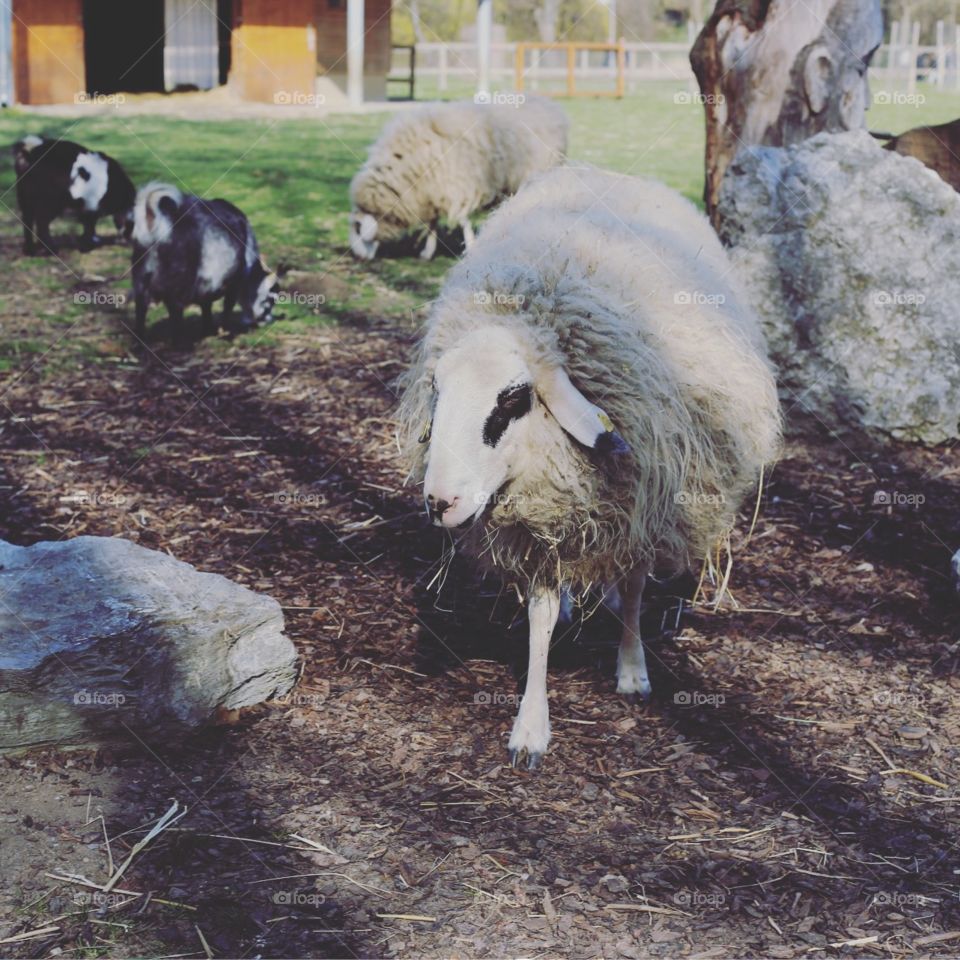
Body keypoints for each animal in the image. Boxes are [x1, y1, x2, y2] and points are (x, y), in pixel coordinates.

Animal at [132, 182, 279, 341]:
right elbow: (227, 306)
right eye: (270, 300)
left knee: (140, 308)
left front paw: (208, 330)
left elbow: (206, 306)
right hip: (178, 283)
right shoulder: (234, 283)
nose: (270, 320)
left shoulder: (206, 284)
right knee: (175, 310)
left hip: (140, 278)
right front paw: (224, 332)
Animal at [348, 95, 568, 261]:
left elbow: (463, 221)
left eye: (358, 228)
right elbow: (432, 223)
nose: (357, 257)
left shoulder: (460, 187)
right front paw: (427, 252)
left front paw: (470, 248)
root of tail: (550, 105)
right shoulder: (432, 191)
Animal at [398, 166, 781, 768]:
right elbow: (539, 615)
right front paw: (531, 727)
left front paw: (631, 669)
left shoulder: (646, 503)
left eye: (512, 399)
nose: (440, 502)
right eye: (438, 389)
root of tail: (613, 173)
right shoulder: (538, 524)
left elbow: (637, 586)